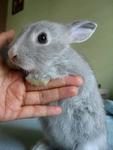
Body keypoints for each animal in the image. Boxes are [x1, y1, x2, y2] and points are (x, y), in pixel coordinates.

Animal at [7, 20, 107, 150]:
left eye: (42, 38)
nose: (11, 54)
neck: (57, 56)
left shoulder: (72, 73)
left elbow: (54, 71)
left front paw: (35, 78)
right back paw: (40, 146)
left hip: (88, 140)